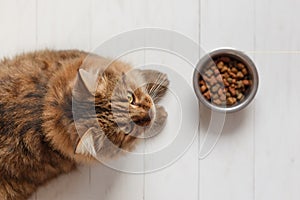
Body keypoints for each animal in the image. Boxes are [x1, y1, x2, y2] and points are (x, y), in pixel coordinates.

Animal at [0, 49, 169, 199]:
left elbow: (136, 73)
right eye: (127, 129)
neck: (46, 108)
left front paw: (159, 80)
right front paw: (161, 116)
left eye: (130, 97)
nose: (150, 113)